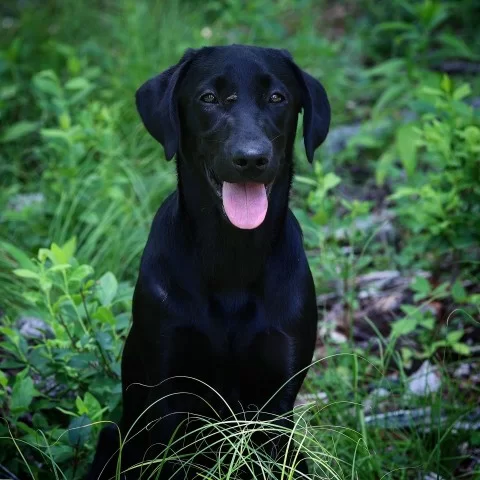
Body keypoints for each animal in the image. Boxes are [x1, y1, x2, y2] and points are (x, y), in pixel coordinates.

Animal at [87, 43, 330, 478]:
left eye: (277, 97)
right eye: (208, 98)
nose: (250, 159)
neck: (232, 256)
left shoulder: (275, 401)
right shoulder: (168, 393)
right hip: (116, 438)